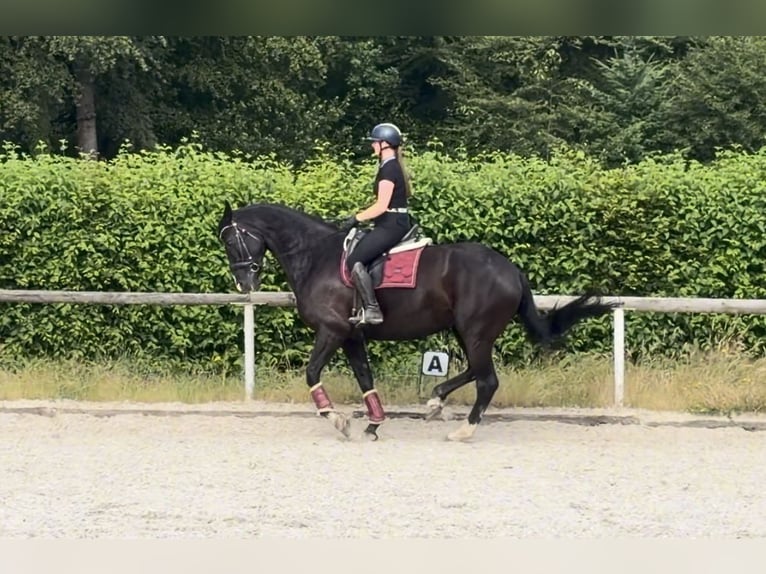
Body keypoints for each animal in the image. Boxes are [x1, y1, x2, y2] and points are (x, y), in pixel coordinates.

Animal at [217, 201, 616, 441]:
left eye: (232, 241)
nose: (244, 284)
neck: (317, 256)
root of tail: (511, 269)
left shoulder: (333, 331)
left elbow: (312, 373)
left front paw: (338, 420)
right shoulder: (352, 336)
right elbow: (365, 378)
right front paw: (373, 424)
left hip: (475, 331)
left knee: (487, 379)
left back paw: (463, 430)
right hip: (465, 330)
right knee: (474, 371)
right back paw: (436, 400)